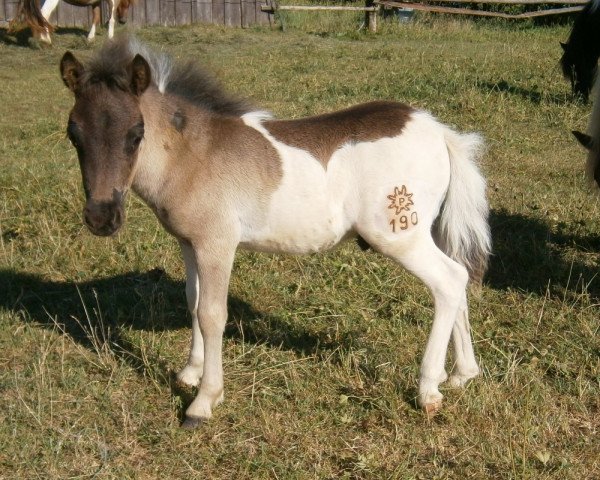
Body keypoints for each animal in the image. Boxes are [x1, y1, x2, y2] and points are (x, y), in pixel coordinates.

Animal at [59, 37, 492, 428]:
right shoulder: (190, 243)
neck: (193, 155)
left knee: (448, 281)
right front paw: (189, 373)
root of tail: (440, 132)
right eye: (73, 135)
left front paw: (203, 401)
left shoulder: (218, 244)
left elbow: (213, 313)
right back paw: (462, 374)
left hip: (399, 236)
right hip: (423, 232)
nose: (101, 217)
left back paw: (428, 389)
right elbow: (192, 302)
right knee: (459, 277)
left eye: (136, 134)